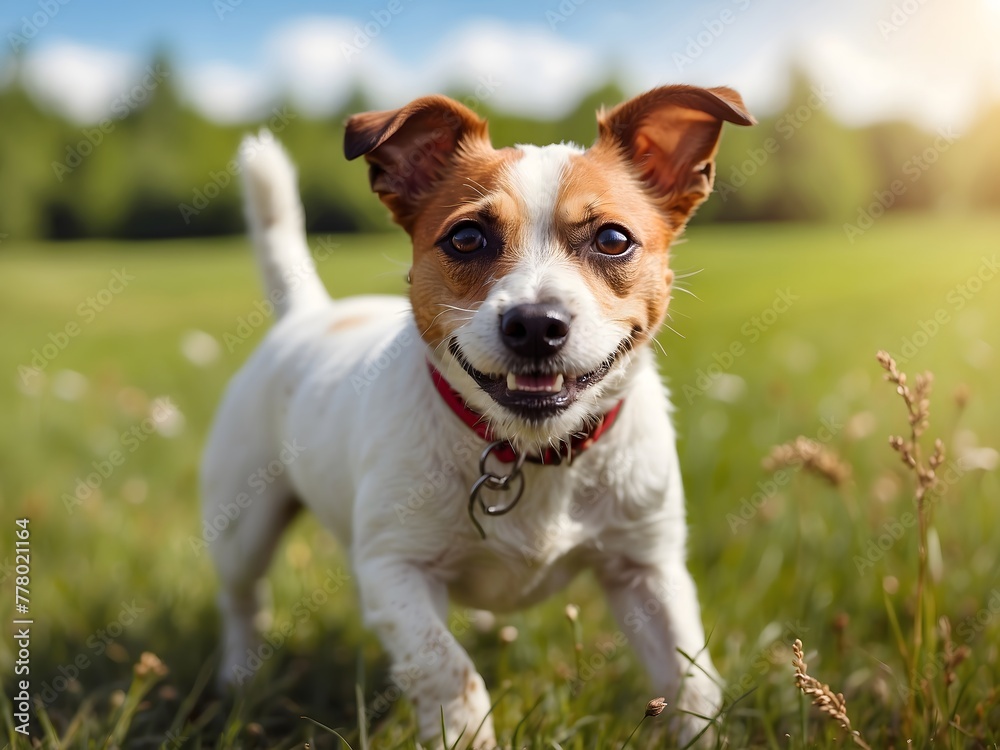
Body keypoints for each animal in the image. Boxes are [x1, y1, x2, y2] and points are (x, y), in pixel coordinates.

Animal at [201, 85, 752, 748]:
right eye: (466, 238)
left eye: (613, 240)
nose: (535, 324)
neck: (528, 452)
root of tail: (307, 313)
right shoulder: (396, 570)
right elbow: (447, 667)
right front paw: (463, 731)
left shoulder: (647, 569)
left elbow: (690, 680)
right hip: (243, 526)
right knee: (242, 601)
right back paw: (238, 677)